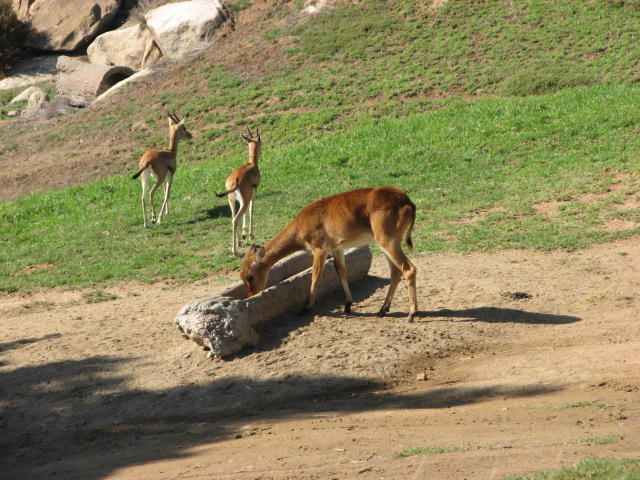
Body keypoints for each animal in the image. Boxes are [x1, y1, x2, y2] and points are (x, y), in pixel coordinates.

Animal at [216, 127, 262, 255]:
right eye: (261, 141)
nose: (261, 151)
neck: (251, 164)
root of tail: (236, 180)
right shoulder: (253, 195)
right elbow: (251, 210)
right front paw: (250, 235)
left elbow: (245, 213)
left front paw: (244, 235)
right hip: (244, 200)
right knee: (236, 219)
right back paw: (234, 251)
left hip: (231, 200)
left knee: (233, 218)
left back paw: (238, 243)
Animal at [241, 186, 419, 322]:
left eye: (250, 277)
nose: (250, 295)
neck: (301, 224)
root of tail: (408, 202)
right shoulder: (337, 249)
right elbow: (341, 272)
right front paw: (348, 305)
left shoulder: (320, 250)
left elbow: (316, 276)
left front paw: (306, 308)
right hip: (386, 244)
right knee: (395, 272)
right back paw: (382, 310)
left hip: (388, 242)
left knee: (409, 269)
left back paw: (410, 315)